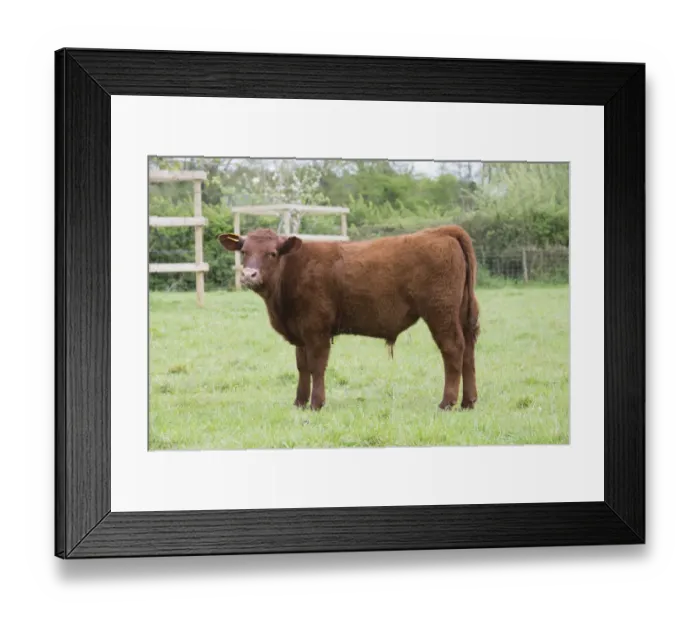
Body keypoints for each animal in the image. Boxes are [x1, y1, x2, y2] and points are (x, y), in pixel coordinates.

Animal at [218, 225, 480, 411]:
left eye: (272, 253)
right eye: (244, 252)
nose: (249, 275)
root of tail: (442, 231)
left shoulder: (316, 330)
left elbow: (316, 366)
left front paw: (316, 403)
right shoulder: (301, 333)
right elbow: (302, 366)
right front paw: (299, 402)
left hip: (440, 313)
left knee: (453, 349)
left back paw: (447, 402)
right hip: (461, 314)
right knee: (468, 352)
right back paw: (468, 402)